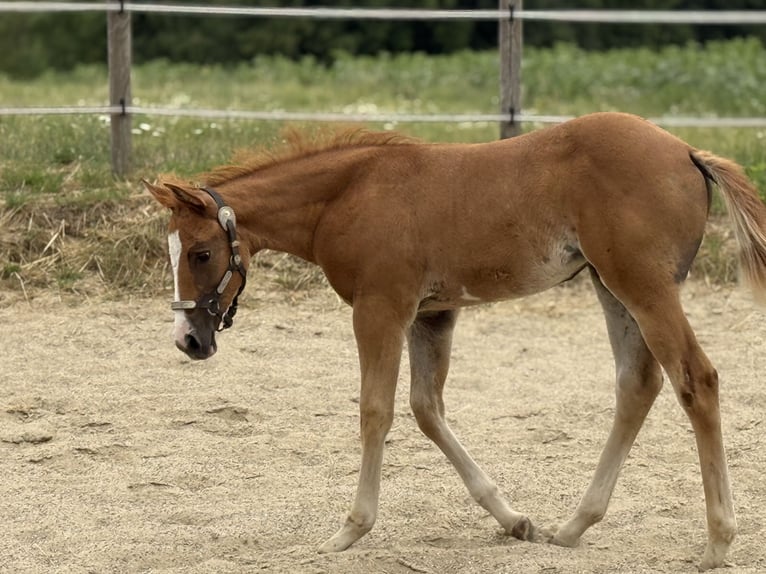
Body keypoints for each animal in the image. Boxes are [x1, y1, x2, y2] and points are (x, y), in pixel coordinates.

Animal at [144, 112, 766, 570]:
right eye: (173, 253)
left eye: (201, 253)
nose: (188, 340)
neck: (348, 194)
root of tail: (686, 151)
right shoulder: (433, 314)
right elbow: (426, 408)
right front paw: (514, 520)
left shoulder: (381, 308)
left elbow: (376, 410)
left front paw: (350, 529)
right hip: (609, 285)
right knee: (638, 383)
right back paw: (573, 526)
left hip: (642, 286)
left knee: (696, 379)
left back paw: (717, 540)